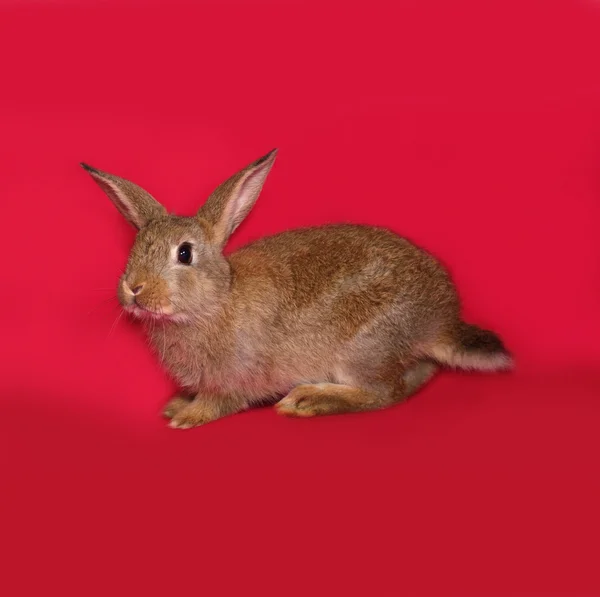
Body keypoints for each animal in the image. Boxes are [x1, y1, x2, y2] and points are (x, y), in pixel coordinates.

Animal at [82, 149, 512, 428]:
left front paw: (186, 416)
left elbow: (219, 402)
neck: (216, 301)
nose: (134, 288)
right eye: (135, 247)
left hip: (362, 348)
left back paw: (307, 399)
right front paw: (175, 405)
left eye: (184, 254)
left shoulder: (234, 377)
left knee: (384, 393)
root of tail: (440, 323)